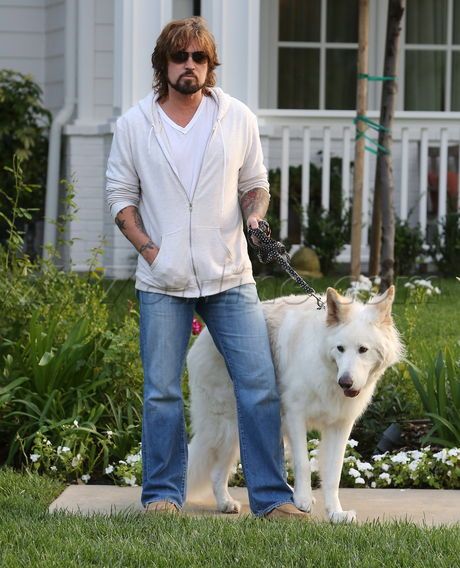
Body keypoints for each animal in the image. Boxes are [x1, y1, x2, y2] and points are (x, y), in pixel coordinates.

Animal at [186, 288, 402, 524]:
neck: (327, 371)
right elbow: (303, 463)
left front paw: (335, 513)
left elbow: (333, 473)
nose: (345, 382)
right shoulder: (295, 416)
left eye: (363, 350)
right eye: (340, 349)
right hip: (229, 426)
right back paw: (227, 502)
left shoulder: (339, 426)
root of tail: (202, 337)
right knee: (216, 471)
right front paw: (303, 500)